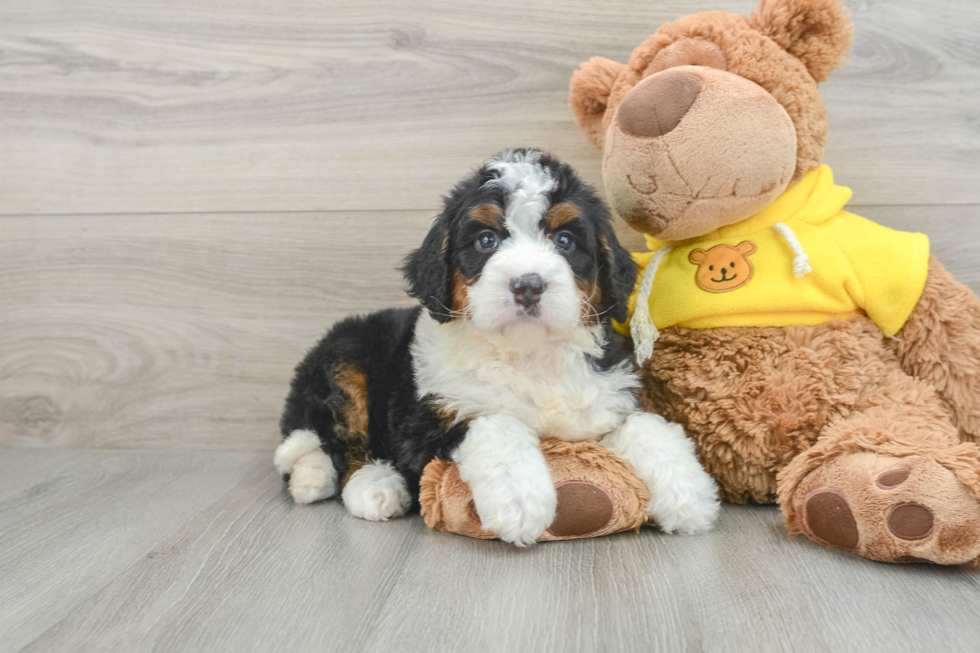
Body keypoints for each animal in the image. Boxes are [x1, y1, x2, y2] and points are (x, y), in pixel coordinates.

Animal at [276, 150, 720, 544]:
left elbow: (646, 425)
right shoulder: (422, 420)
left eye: (564, 239)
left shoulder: (608, 394)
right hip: (345, 354)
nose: (528, 285)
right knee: (341, 438)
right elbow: (495, 423)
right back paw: (368, 484)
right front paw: (519, 499)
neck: (528, 352)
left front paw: (689, 494)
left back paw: (312, 477)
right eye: (486, 240)